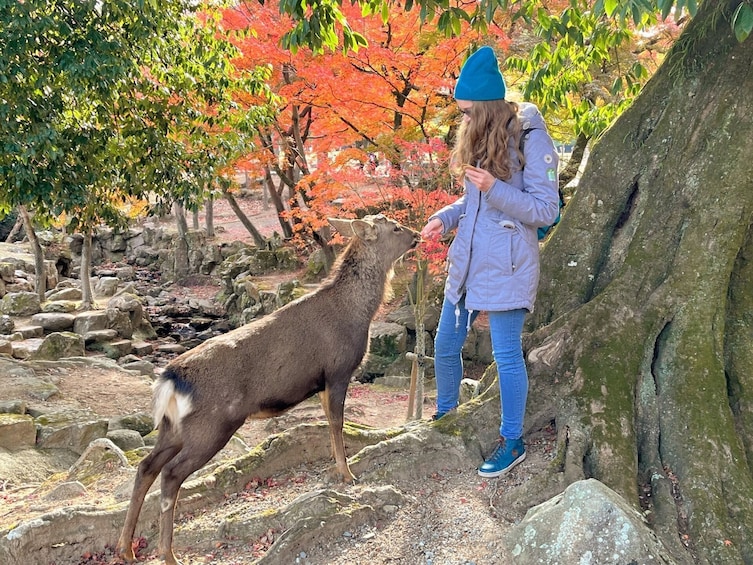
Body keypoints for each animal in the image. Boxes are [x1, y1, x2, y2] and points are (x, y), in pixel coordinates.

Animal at [117, 214, 424, 560]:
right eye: (395, 227)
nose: (417, 234)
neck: (359, 313)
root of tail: (170, 377)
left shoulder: (321, 383)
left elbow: (329, 423)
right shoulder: (338, 371)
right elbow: (337, 423)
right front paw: (346, 474)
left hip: (173, 428)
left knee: (146, 466)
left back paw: (126, 548)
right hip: (211, 425)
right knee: (170, 474)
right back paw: (168, 554)